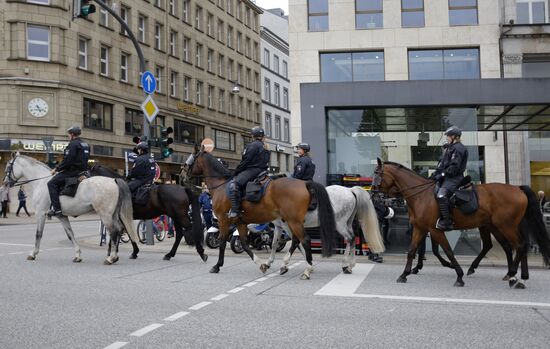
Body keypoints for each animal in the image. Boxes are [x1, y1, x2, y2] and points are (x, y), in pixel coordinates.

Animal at [3, 153, 140, 264]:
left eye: (8, 167)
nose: (5, 183)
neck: (41, 182)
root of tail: (114, 180)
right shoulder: (61, 216)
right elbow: (70, 234)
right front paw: (78, 255)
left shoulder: (41, 213)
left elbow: (38, 234)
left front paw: (33, 254)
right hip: (113, 214)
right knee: (120, 229)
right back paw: (115, 256)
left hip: (105, 215)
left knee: (114, 232)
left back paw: (111, 258)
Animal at [185, 145, 338, 278]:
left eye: (191, 158)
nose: (183, 173)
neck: (221, 186)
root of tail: (304, 183)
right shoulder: (240, 223)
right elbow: (245, 244)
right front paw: (262, 264)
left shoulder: (223, 220)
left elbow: (222, 242)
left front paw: (217, 266)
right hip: (292, 221)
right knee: (296, 240)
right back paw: (293, 265)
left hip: (293, 221)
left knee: (304, 240)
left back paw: (307, 269)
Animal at [374, 159, 548, 286]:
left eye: (377, 173)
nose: (374, 192)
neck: (421, 195)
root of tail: (517, 188)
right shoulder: (420, 229)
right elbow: (412, 250)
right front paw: (404, 274)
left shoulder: (435, 230)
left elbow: (447, 251)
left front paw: (458, 275)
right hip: (493, 226)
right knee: (504, 246)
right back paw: (515, 275)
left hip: (506, 226)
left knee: (520, 245)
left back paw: (513, 275)